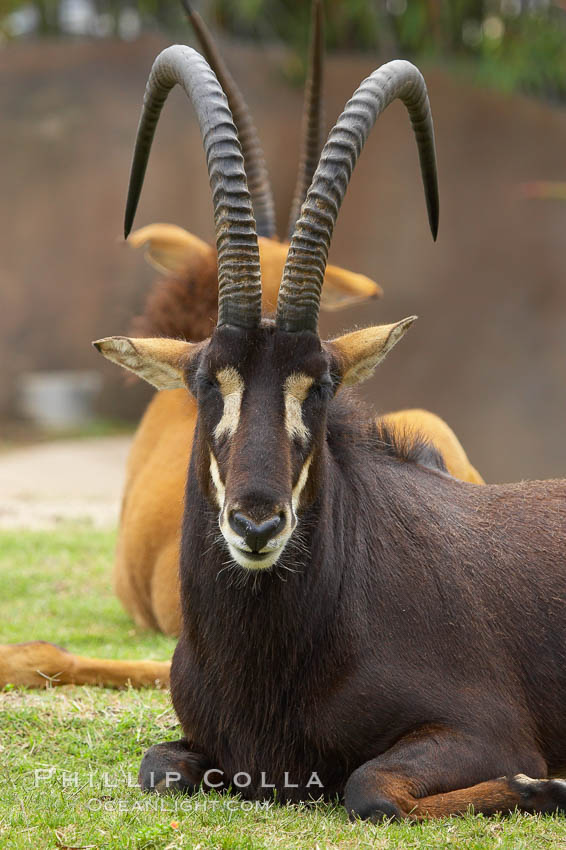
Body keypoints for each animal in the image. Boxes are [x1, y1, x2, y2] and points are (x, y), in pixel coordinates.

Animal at [95, 43, 566, 820]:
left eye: (319, 385)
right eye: (208, 381)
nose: (257, 525)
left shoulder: (486, 730)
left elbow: (370, 788)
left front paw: (547, 785)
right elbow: (158, 766)